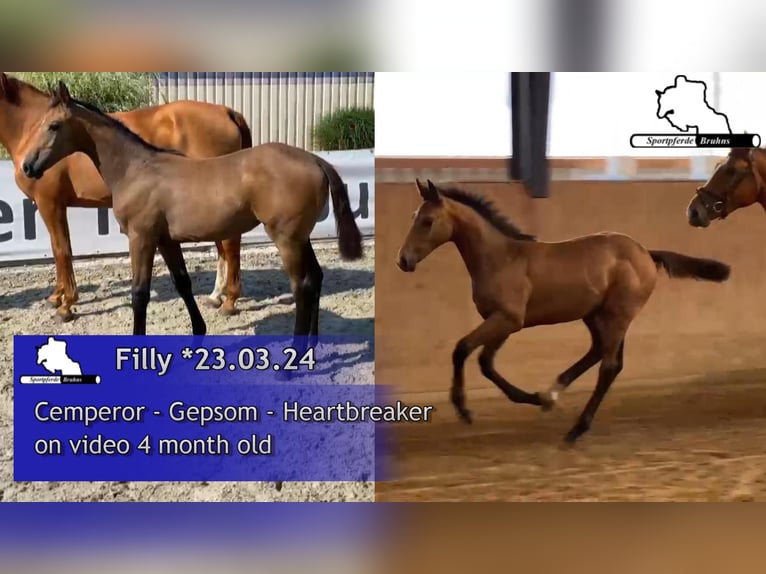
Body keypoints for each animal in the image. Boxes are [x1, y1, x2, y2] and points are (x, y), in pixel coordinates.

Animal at [0, 71, 249, 322]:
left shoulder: (50, 203)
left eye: (53, 126)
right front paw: (56, 297)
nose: (29, 166)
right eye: (41, 124)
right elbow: (56, 249)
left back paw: (229, 301)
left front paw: (66, 304)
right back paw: (216, 296)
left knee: (229, 244)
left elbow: (62, 250)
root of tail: (228, 112)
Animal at [21, 83, 364, 340]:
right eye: (36, 124)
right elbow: (183, 283)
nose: (28, 166)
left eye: (53, 125)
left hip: (287, 238)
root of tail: (316, 159)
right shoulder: (166, 240)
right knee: (316, 278)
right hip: (301, 238)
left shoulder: (141, 237)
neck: (136, 168)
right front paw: (199, 330)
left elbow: (139, 294)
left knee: (302, 286)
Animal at [400, 180, 728, 446]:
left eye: (428, 221)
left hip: (617, 314)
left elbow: (462, 349)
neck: (500, 258)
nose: (404, 261)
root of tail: (646, 253)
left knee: (609, 366)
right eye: (414, 217)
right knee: (600, 353)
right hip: (596, 315)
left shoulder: (508, 319)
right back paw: (551, 394)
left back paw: (575, 429)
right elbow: (486, 363)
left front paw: (463, 409)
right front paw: (534, 398)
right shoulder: (503, 322)